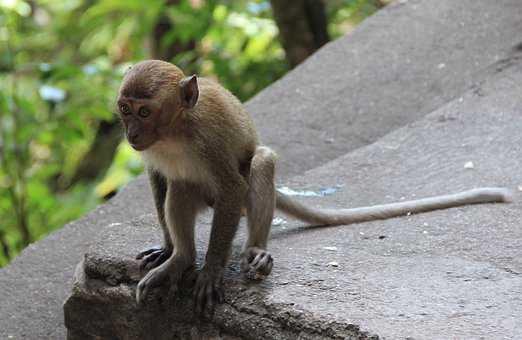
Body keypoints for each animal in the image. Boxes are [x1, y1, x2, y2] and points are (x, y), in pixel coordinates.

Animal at [116, 59, 510, 314]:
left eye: (145, 111)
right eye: (125, 109)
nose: (131, 134)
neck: (174, 132)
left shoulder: (208, 141)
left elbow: (232, 187)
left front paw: (211, 271)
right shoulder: (153, 151)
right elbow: (159, 178)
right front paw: (168, 249)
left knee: (260, 163)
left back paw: (254, 250)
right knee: (180, 186)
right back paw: (181, 258)